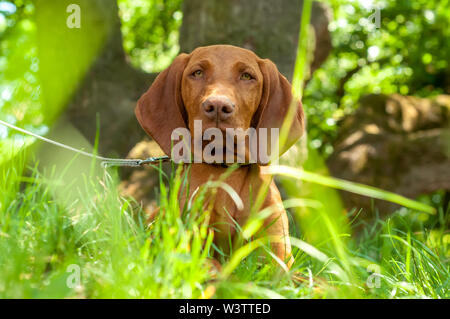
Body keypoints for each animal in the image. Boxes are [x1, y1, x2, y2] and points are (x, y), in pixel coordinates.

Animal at [134, 45, 302, 268]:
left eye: (247, 76)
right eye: (197, 73)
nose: (218, 106)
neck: (227, 168)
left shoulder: (278, 257)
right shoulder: (189, 242)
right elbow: (217, 267)